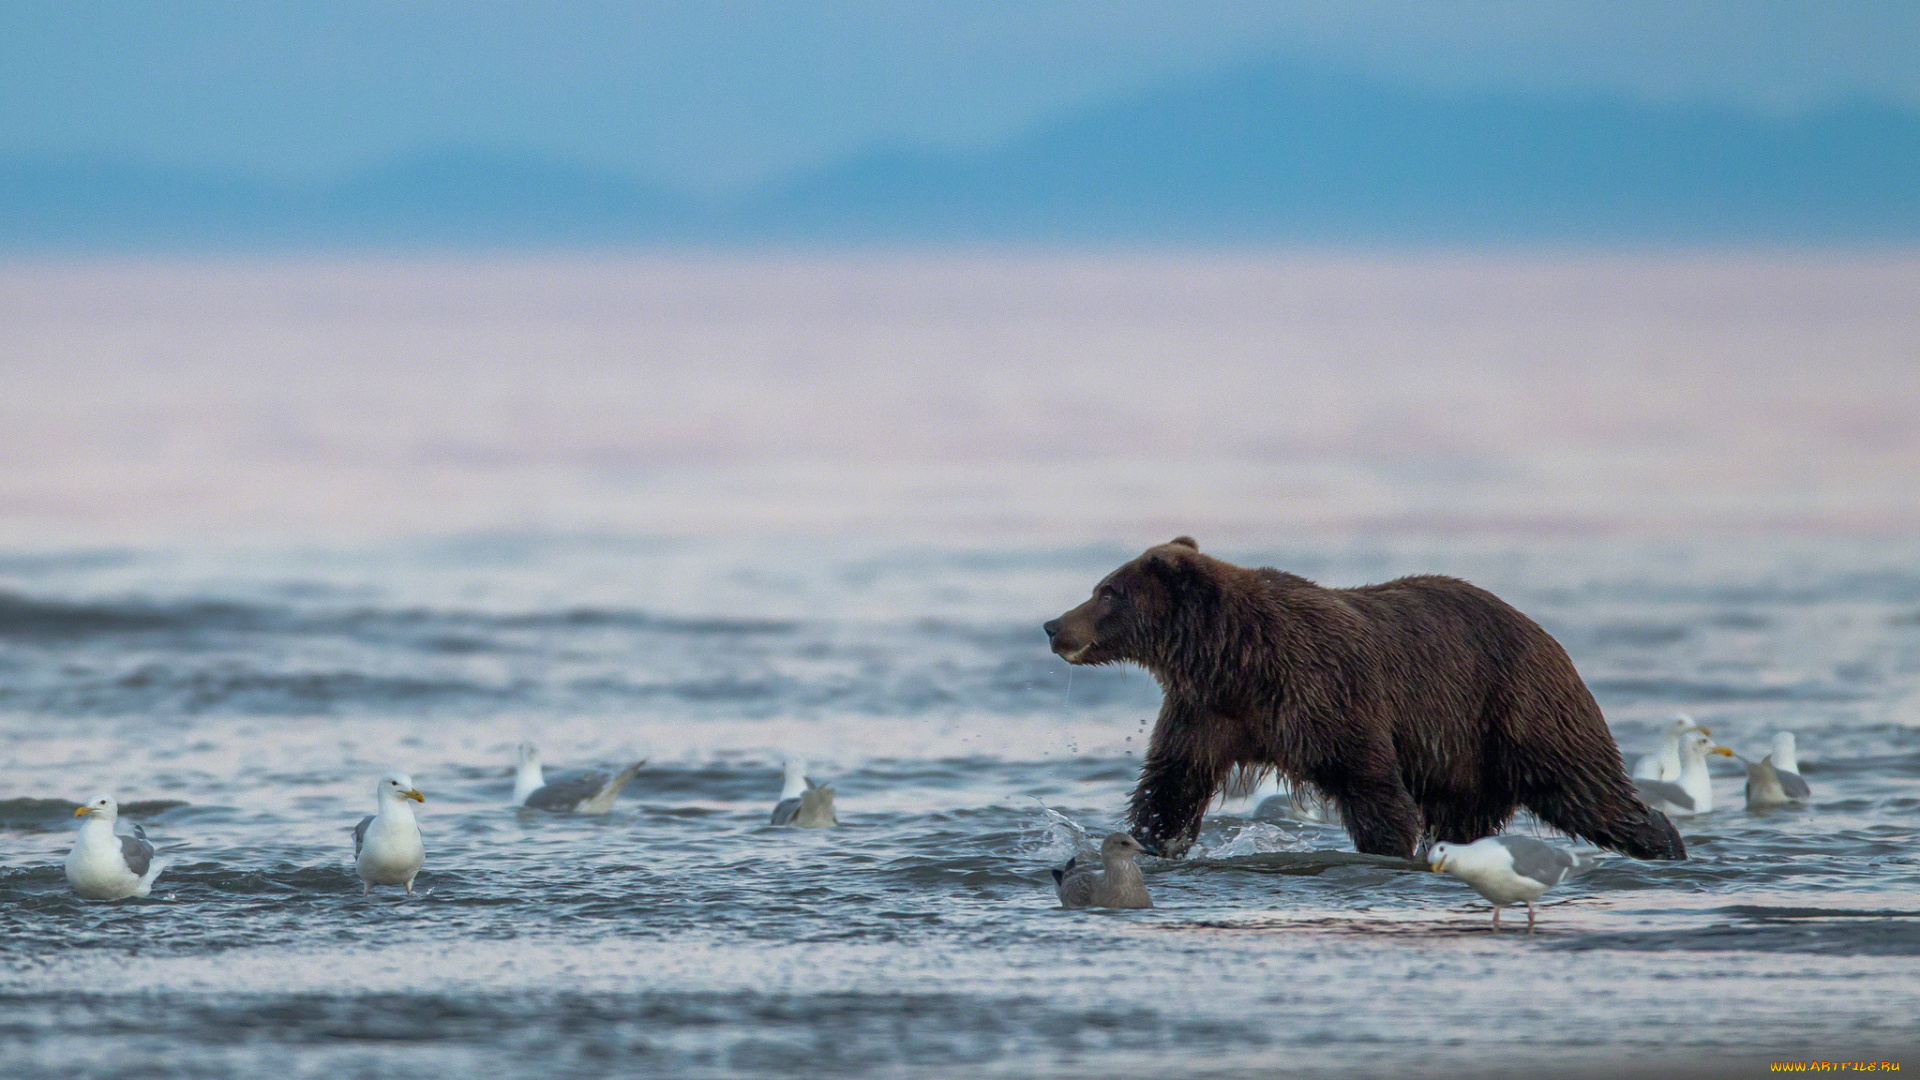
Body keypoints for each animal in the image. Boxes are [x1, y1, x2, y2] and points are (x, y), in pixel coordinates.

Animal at [1044, 534, 1689, 857]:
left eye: (1107, 591)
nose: (1053, 625)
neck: (1236, 660)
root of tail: (1547, 635)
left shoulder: (1324, 694)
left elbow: (1371, 785)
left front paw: (1387, 845)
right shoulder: (1208, 713)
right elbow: (1171, 786)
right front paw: (1151, 840)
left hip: (1518, 709)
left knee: (1585, 788)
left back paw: (1663, 841)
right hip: (1467, 762)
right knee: (1468, 818)